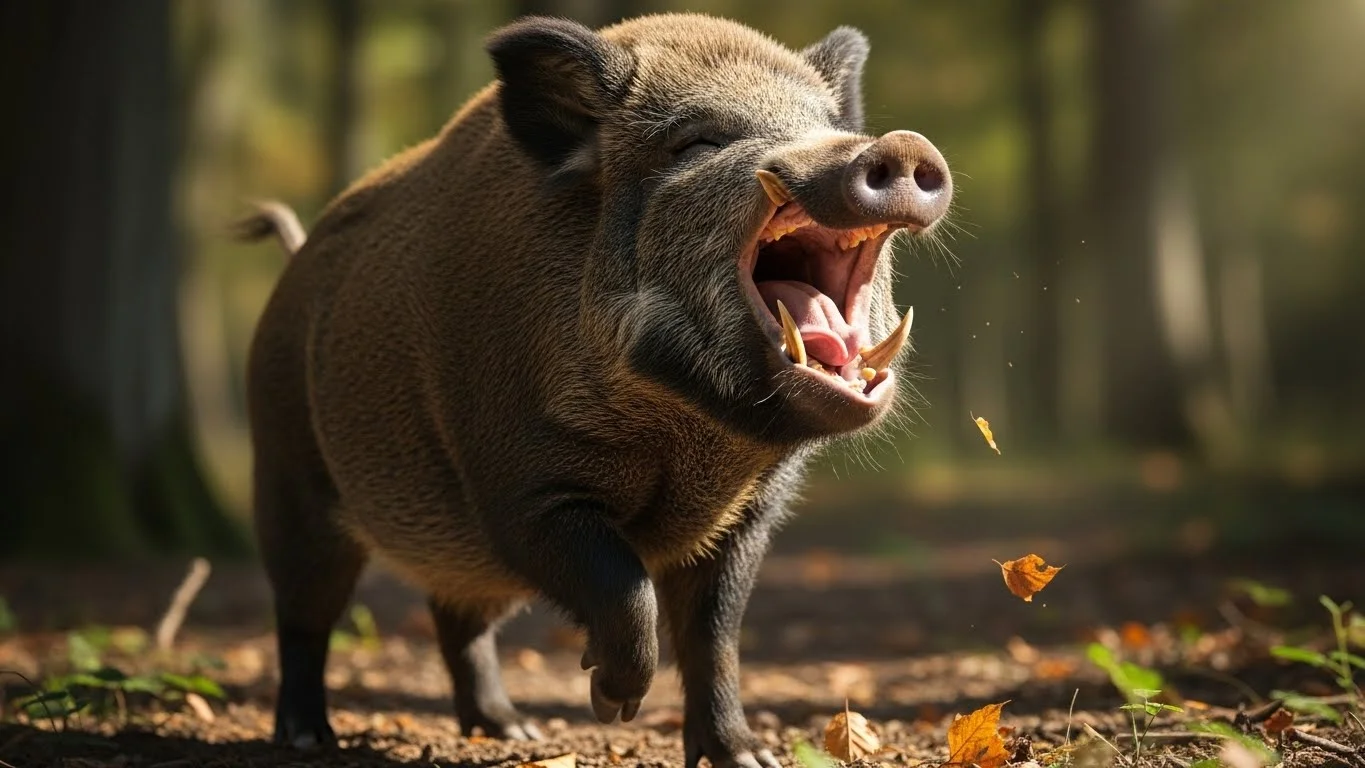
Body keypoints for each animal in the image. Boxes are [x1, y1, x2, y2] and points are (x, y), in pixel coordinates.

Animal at [236, 12, 951, 768]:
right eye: (698, 142)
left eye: (824, 122)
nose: (900, 145)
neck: (690, 439)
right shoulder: (519, 487)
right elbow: (627, 587)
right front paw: (612, 706)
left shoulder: (751, 515)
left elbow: (716, 639)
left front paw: (745, 758)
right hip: (288, 470)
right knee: (305, 612)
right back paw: (307, 737)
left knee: (458, 616)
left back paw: (511, 732)